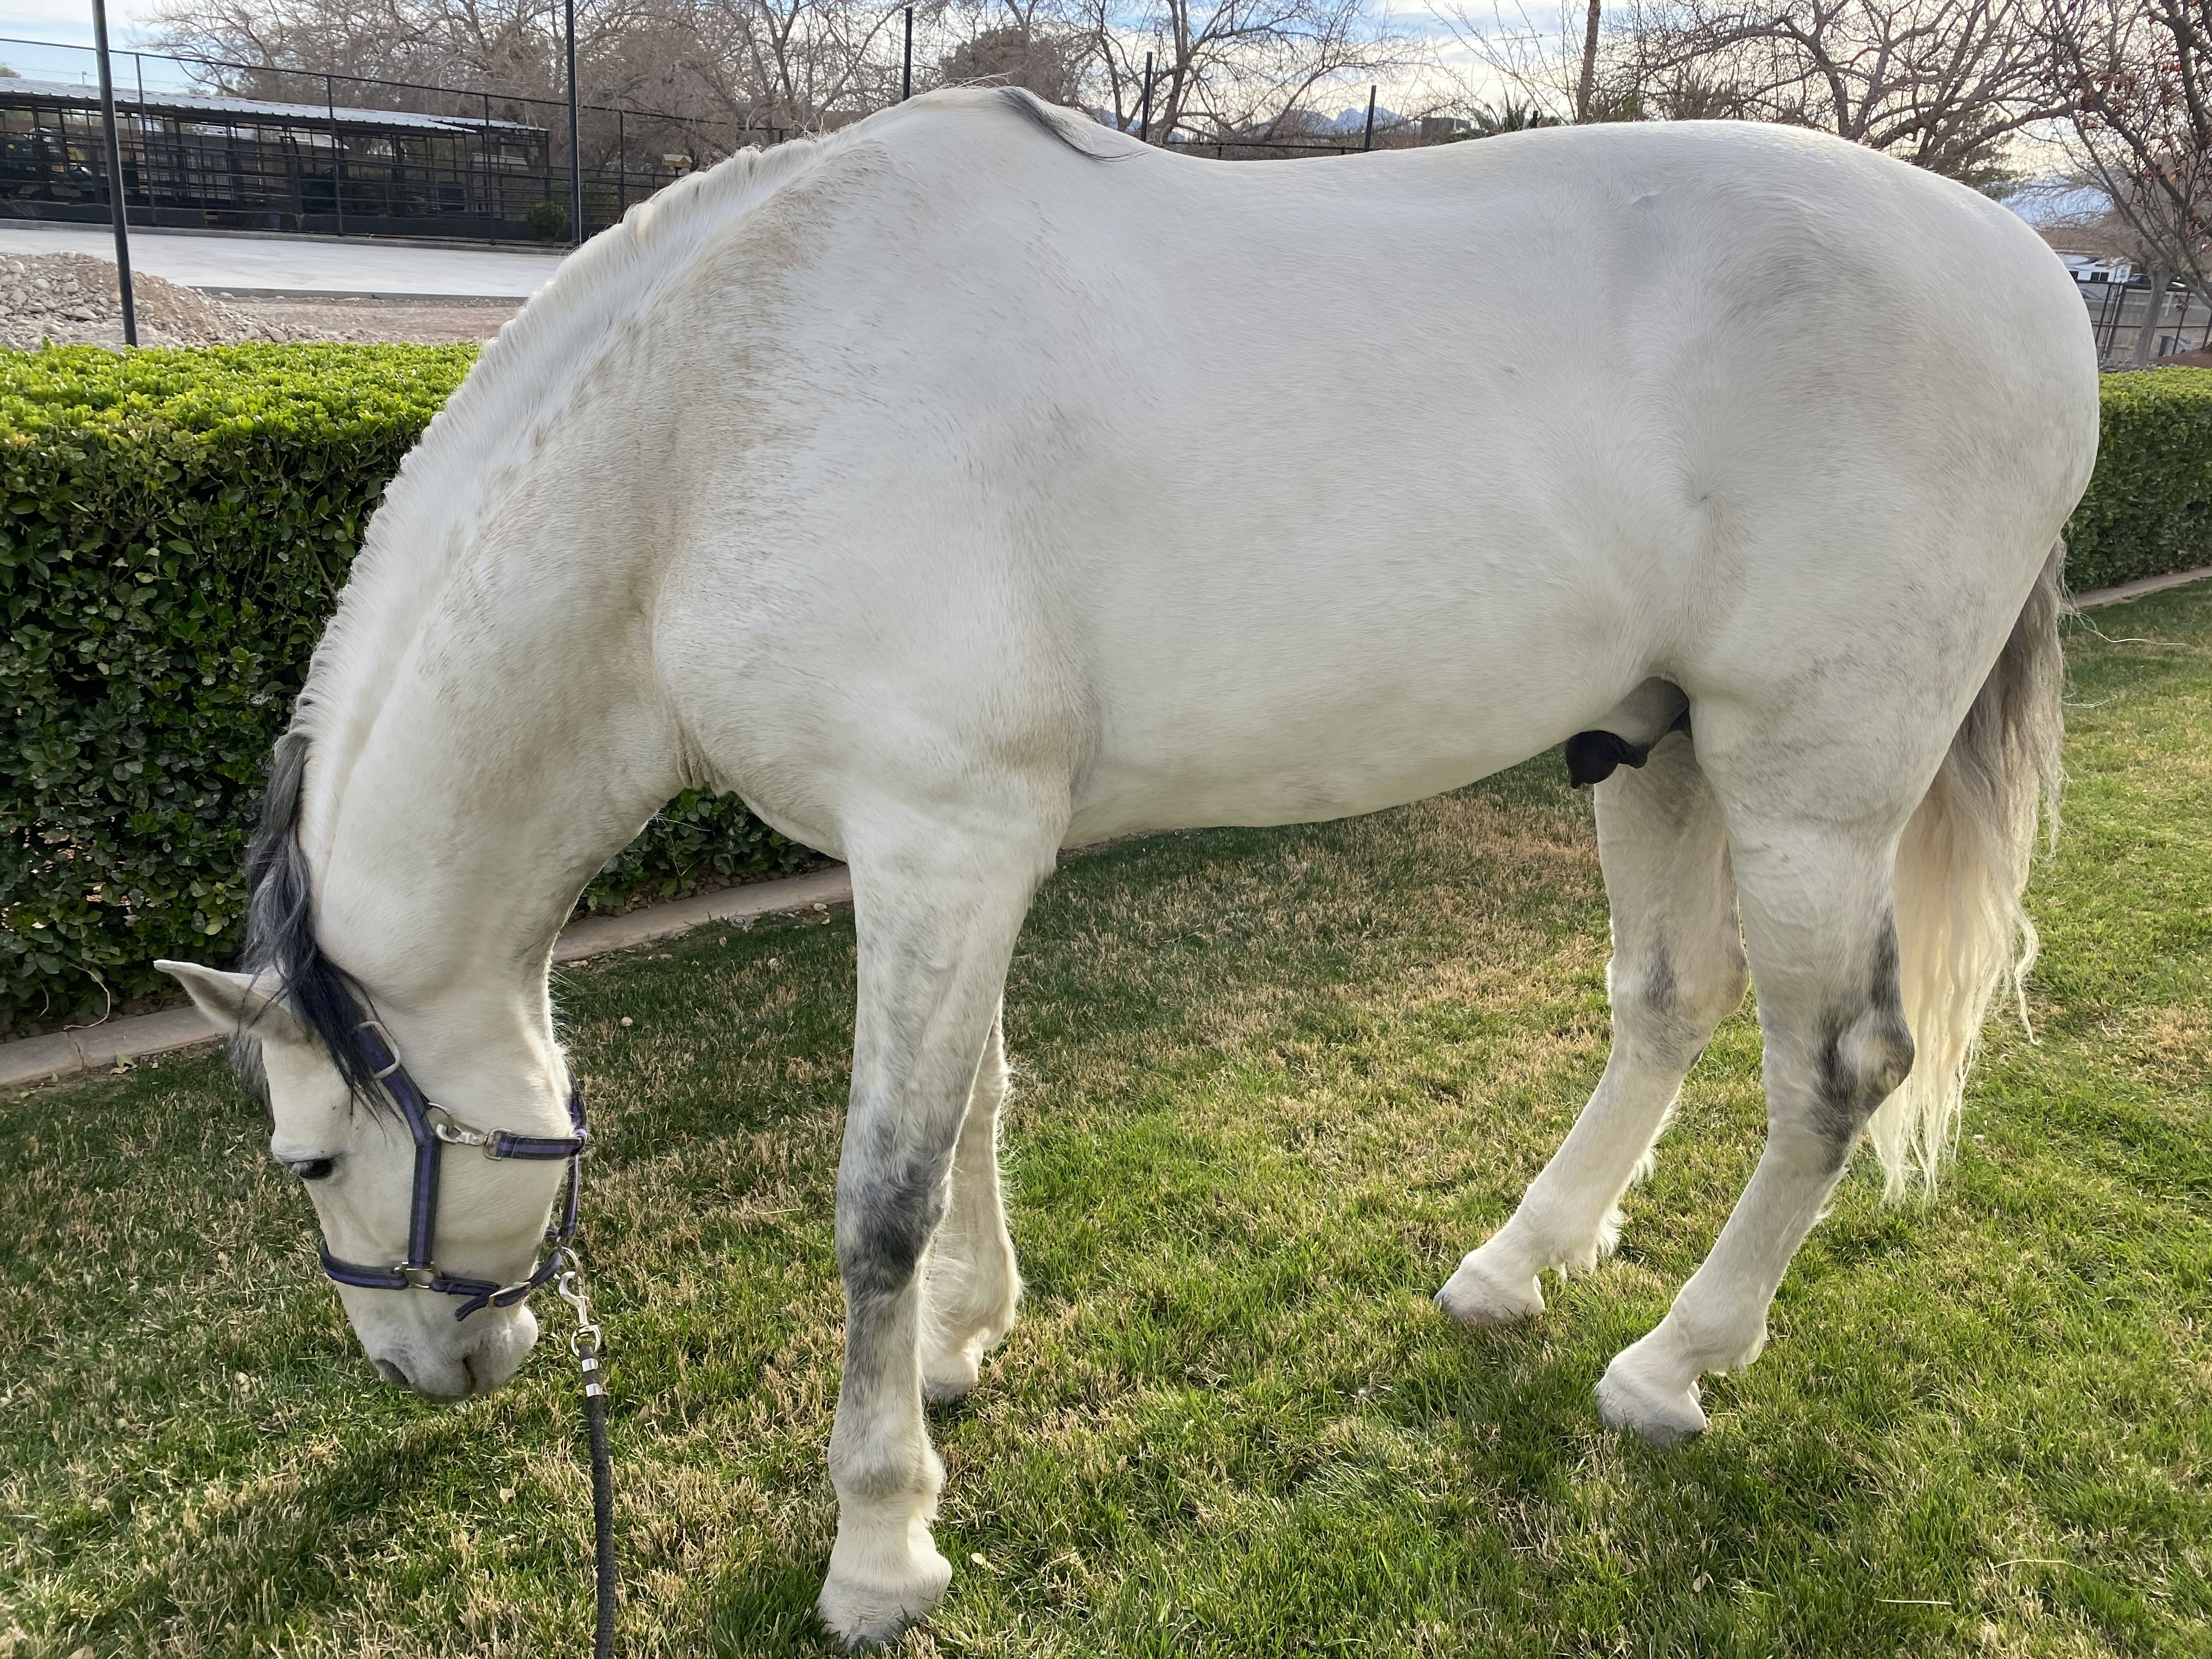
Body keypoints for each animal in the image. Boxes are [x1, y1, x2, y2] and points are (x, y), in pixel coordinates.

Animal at [157, 88, 2095, 1645]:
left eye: (307, 1156)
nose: (425, 1370)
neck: (714, 433)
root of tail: (2035, 278)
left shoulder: (939, 841)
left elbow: (880, 1198)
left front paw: (881, 1544)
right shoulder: (962, 852)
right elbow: (979, 1108)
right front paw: (963, 1349)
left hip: (1809, 784)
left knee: (1836, 1067)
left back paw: (1673, 1366)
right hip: (1658, 742)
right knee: (1670, 1004)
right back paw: (1517, 1268)